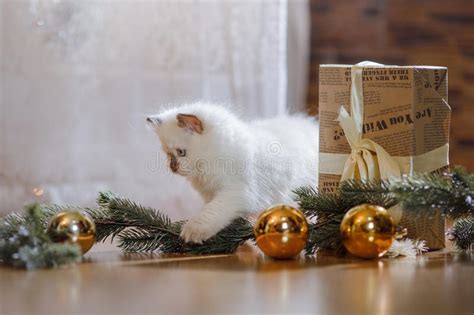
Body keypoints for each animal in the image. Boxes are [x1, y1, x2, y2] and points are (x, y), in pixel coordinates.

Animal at [148, 103, 318, 244]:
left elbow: (210, 213)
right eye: (168, 155)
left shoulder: (236, 192)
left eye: (181, 152)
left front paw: (193, 231)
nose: (172, 167)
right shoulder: (211, 194)